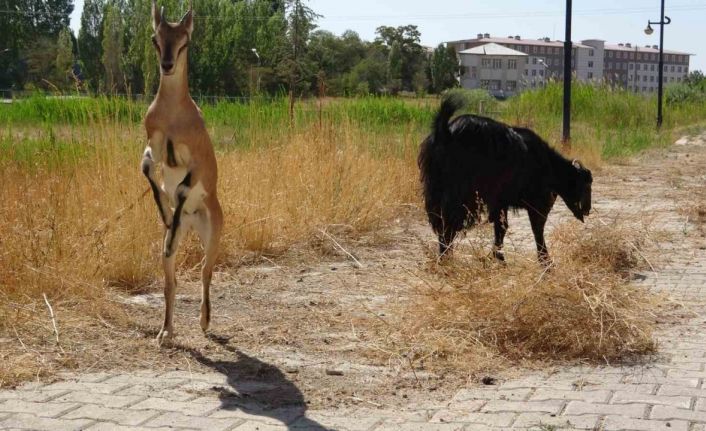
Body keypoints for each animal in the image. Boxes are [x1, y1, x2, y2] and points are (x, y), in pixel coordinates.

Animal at [420, 95, 592, 264]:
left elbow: (501, 227)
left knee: (441, 222)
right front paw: (545, 262)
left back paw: (444, 257)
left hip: (435, 189)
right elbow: (536, 228)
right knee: (448, 223)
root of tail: (445, 131)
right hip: (461, 195)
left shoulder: (500, 202)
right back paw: (445, 258)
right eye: (585, 184)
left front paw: (498, 257)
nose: (587, 209)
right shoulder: (536, 203)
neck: (548, 164)